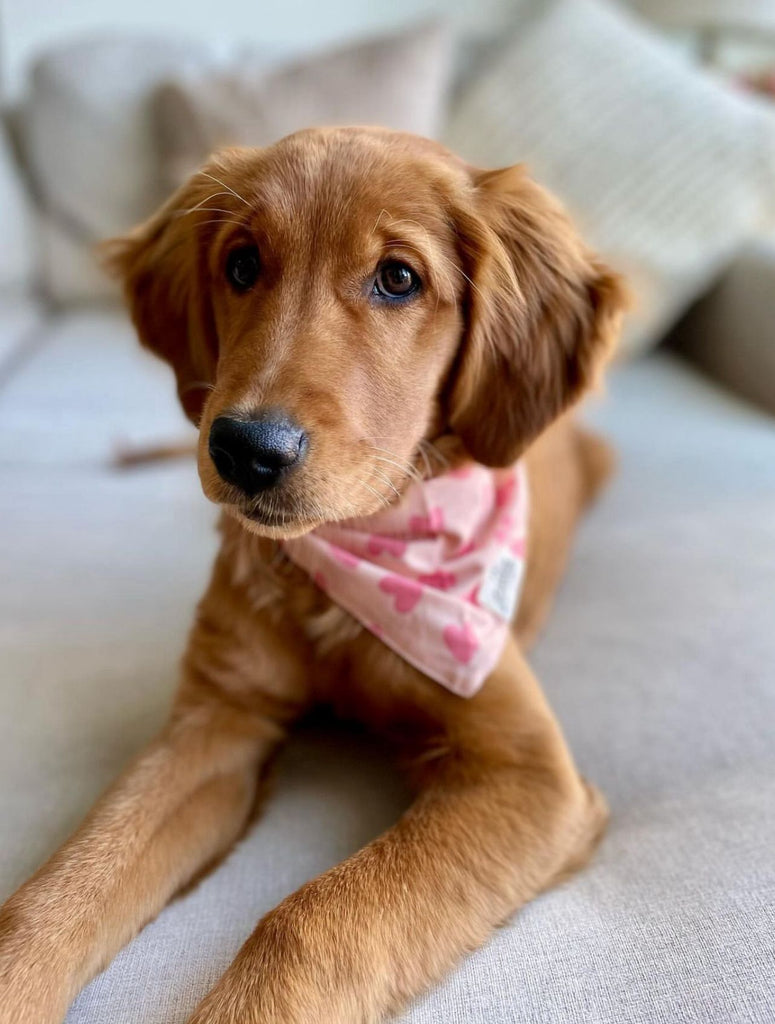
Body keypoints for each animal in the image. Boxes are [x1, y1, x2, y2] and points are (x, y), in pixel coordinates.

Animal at [0, 128, 622, 1024]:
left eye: (398, 278)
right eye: (241, 263)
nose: (244, 450)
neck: (350, 549)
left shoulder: (526, 772)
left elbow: (309, 918)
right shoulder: (217, 718)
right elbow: (61, 887)